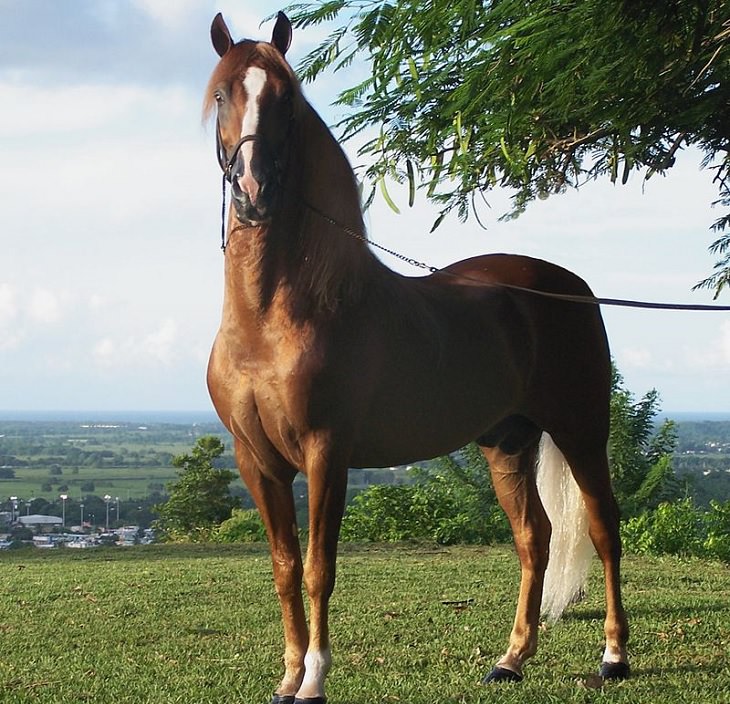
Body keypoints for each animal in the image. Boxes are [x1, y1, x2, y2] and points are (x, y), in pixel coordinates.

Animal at [203, 12, 624, 704]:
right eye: (221, 95)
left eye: (286, 99)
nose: (254, 191)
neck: (274, 319)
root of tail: (570, 286)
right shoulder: (256, 460)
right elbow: (285, 568)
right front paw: (288, 677)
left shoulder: (327, 453)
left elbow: (319, 568)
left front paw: (314, 679)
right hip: (507, 443)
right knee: (534, 537)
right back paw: (511, 659)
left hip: (581, 431)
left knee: (602, 526)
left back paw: (614, 656)